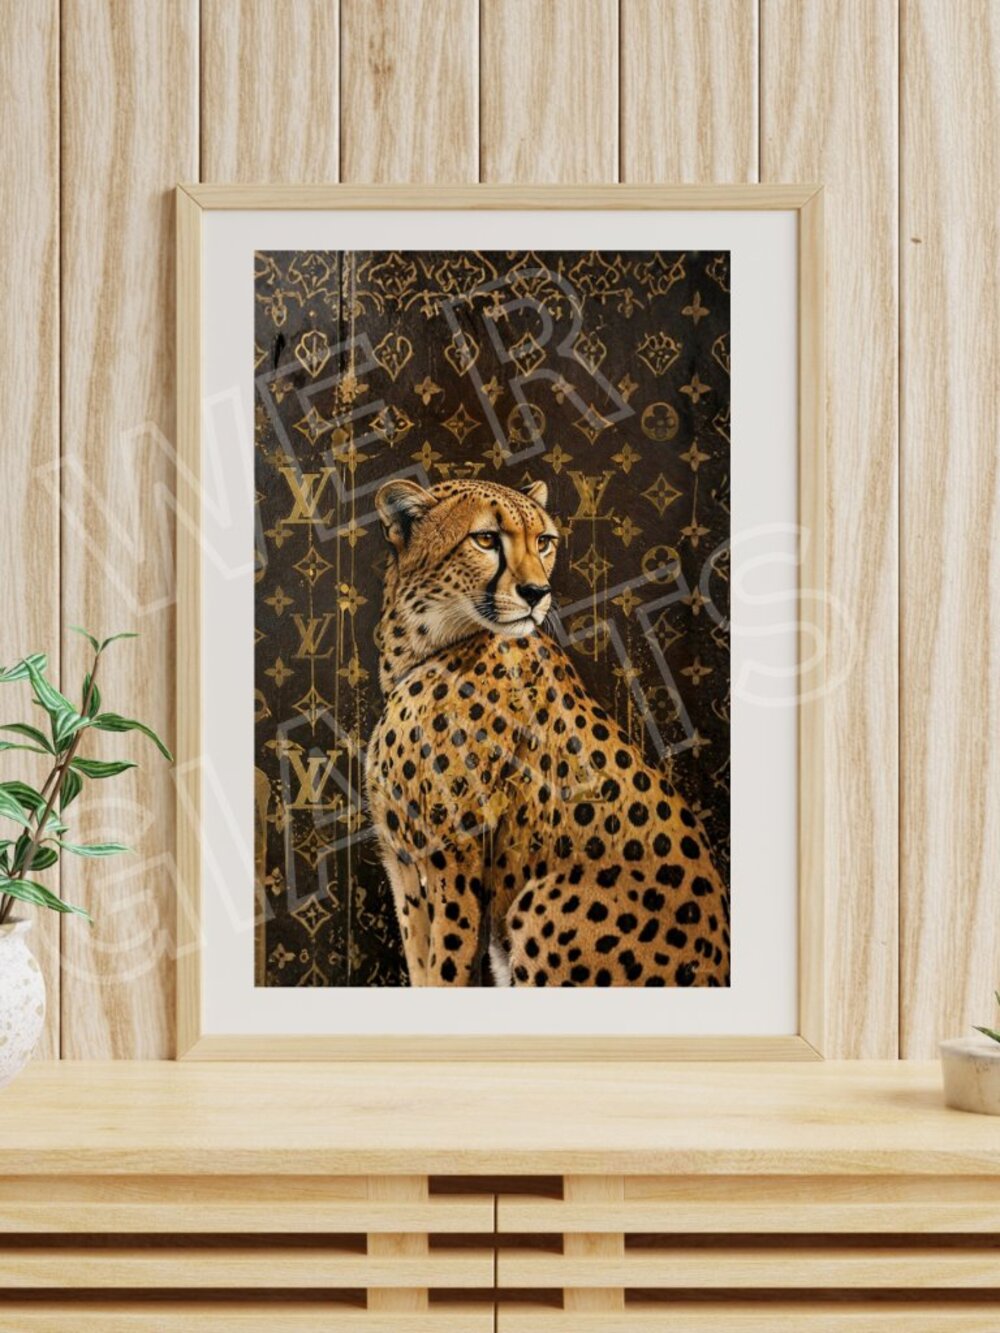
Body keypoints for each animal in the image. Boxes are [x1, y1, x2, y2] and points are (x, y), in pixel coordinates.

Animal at [365, 475, 730, 988]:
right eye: (485, 539)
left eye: (543, 542)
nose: (537, 592)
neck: (423, 650)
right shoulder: (403, 862)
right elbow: (422, 964)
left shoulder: (453, 857)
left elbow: (447, 966)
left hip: (538, 902)